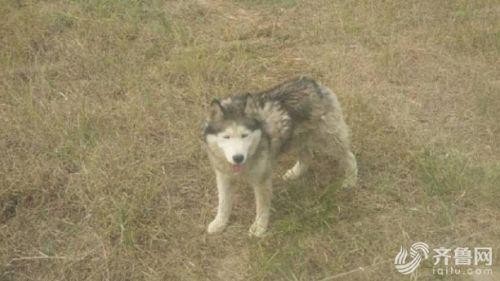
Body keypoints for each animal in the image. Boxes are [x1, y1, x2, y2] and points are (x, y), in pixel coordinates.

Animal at [201, 75, 358, 235]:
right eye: (226, 137)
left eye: (244, 135)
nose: (238, 158)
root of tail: (312, 82)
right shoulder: (224, 177)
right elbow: (223, 204)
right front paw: (219, 223)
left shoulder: (262, 181)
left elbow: (262, 207)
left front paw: (259, 227)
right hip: (299, 138)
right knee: (307, 156)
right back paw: (295, 173)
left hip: (329, 140)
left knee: (349, 157)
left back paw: (350, 180)